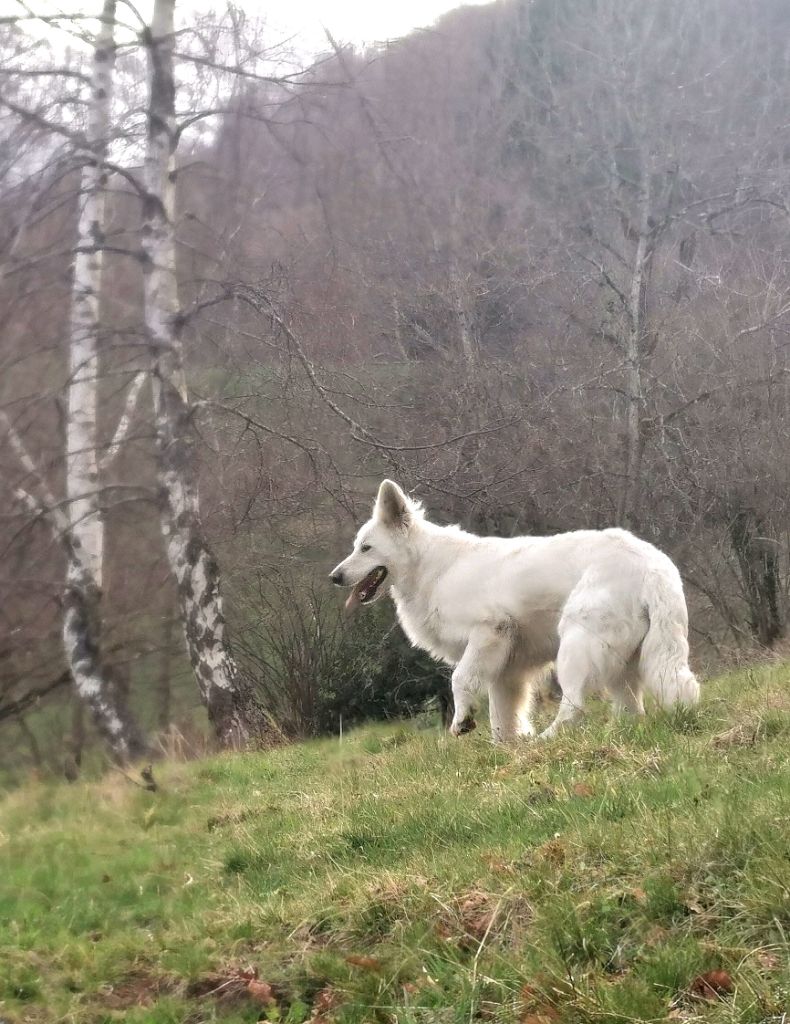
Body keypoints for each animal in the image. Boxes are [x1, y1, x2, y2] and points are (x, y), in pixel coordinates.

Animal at [329, 479, 700, 745]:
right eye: (356, 547)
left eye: (366, 548)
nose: (334, 577)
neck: (433, 567)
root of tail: (651, 564)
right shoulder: (506, 670)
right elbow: (501, 715)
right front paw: (506, 748)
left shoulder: (488, 632)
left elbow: (460, 679)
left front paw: (463, 721)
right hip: (622, 662)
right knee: (633, 707)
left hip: (577, 646)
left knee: (575, 703)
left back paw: (550, 739)